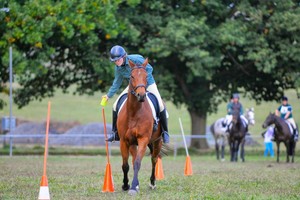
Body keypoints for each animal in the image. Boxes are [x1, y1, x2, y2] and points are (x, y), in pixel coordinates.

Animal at [118, 57, 164, 195]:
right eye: (132, 76)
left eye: (146, 76)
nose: (141, 95)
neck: (134, 112)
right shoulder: (124, 141)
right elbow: (126, 165)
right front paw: (126, 185)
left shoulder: (143, 139)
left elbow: (138, 163)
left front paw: (133, 187)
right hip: (133, 143)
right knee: (133, 160)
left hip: (157, 141)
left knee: (154, 159)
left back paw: (152, 183)